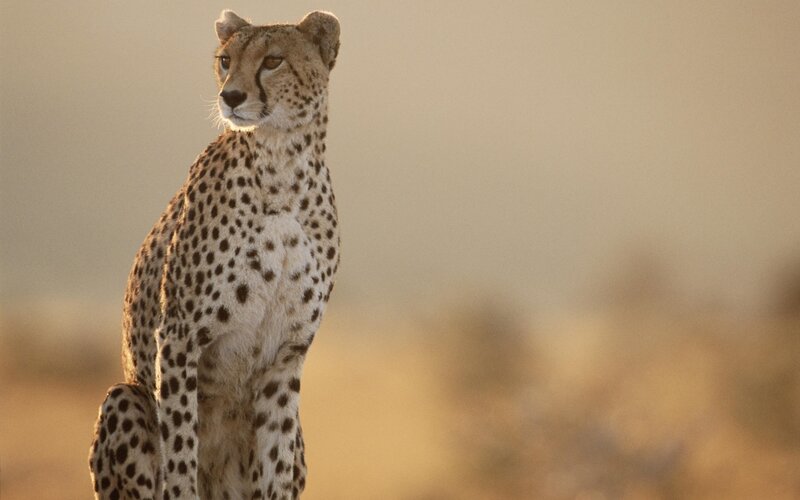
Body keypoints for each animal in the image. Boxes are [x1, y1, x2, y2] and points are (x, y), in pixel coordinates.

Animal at [88, 10, 341, 500]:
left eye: (273, 61)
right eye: (226, 60)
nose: (231, 96)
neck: (283, 166)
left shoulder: (286, 354)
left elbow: (274, 459)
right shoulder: (179, 335)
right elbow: (181, 447)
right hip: (124, 397)